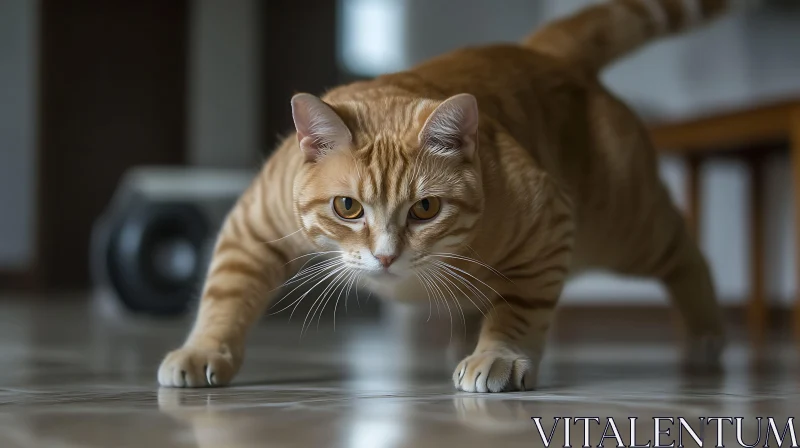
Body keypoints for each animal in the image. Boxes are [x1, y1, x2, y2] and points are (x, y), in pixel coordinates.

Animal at [156, 0, 732, 392]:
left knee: (690, 253)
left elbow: (519, 308)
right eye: (347, 207)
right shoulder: (251, 228)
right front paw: (202, 350)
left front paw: (498, 355)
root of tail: (540, 51)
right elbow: (225, 294)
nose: (386, 256)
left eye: (425, 208)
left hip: (624, 229)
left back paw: (707, 335)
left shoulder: (549, 226)